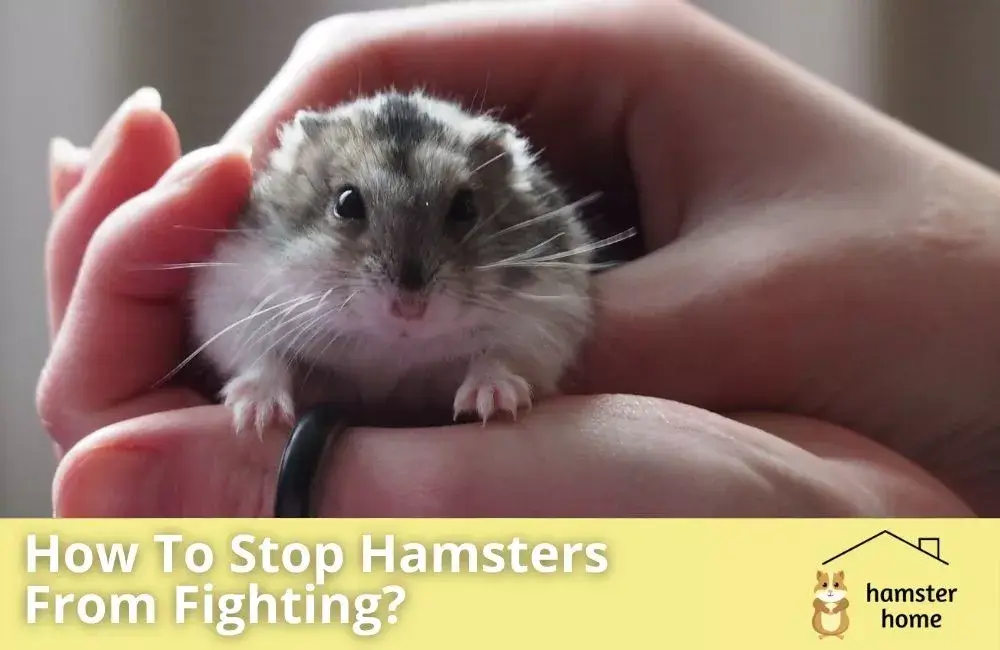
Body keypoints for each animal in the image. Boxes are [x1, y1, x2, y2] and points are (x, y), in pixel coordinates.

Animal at [186, 90, 622, 435]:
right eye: (346, 203)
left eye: (466, 207)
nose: (409, 310)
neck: (390, 347)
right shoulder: (234, 299)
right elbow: (262, 355)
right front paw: (257, 417)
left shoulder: (548, 316)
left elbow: (499, 353)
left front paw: (494, 402)